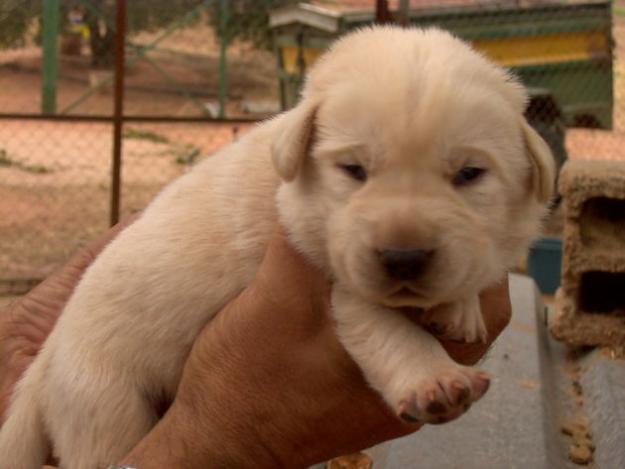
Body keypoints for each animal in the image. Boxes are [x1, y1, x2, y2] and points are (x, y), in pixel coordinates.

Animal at [0, 26, 552, 468]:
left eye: (470, 174)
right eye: (353, 170)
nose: (403, 259)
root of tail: (46, 362)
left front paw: (458, 310)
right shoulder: (332, 277)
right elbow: (383, 326)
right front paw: (434, 380)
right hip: (105, 406)